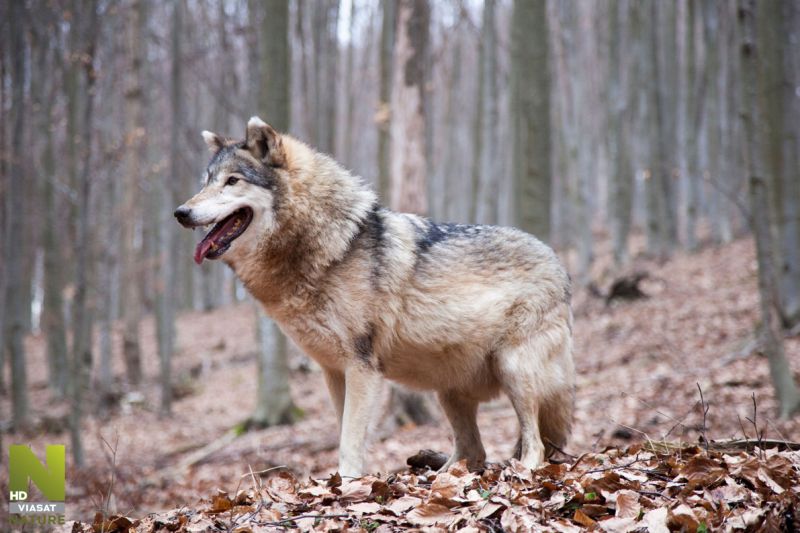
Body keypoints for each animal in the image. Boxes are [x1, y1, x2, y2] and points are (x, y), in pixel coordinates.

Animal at [175, 118, 576, 476]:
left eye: (232, 181)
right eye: (206, 182)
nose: (181, 212)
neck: (329, 247)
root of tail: (557, 261)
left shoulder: (362, 368)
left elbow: (349, 443)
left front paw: (346, 488)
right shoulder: (333, 372)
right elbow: (343, 433)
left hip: (514, 372)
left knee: (535, 446)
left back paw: (518, 472)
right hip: (449, 393)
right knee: (474, 453)